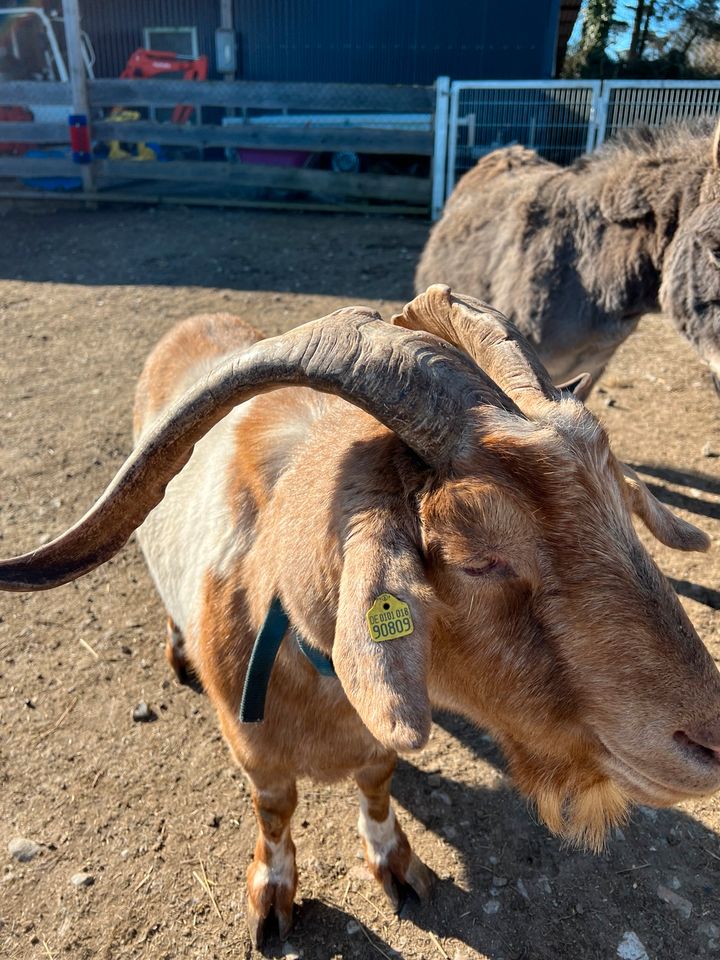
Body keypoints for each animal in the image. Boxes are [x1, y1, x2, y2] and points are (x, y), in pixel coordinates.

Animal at [1, 284, 720, 944]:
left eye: (618, 501)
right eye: (477, 556)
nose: (707, 739)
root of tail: (195, 320)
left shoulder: (376, 745)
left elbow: (378, 786)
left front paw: (397, 865)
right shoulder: (255, 754)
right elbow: (276, 811)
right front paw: (272, 900)